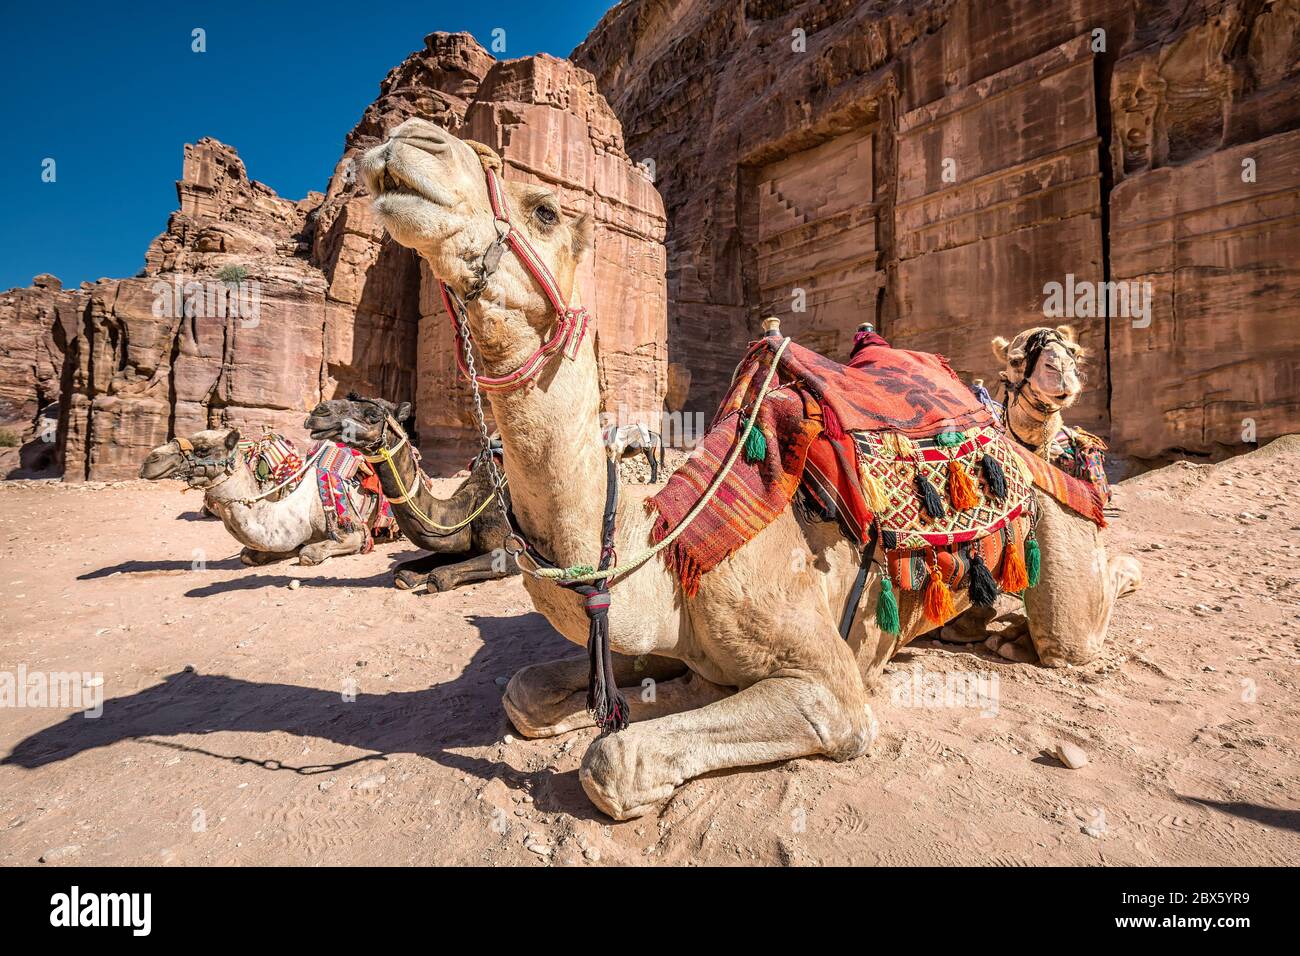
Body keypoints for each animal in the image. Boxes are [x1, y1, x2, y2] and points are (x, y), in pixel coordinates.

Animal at [301, 395, 514, 590]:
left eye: (373, 415)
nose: (319, 411)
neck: (467, 509)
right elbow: (402, 572)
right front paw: (411, 576)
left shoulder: (511, 548)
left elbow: (440, 576)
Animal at [356, 117, 1138, 822]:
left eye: (545, 209)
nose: (409, 140)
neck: (665, 538)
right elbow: (525, 692)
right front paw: (653, 693)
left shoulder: (831, 688)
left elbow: (615, 759)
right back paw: (977, 626)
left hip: (1051, 510)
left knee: (1075, 622)